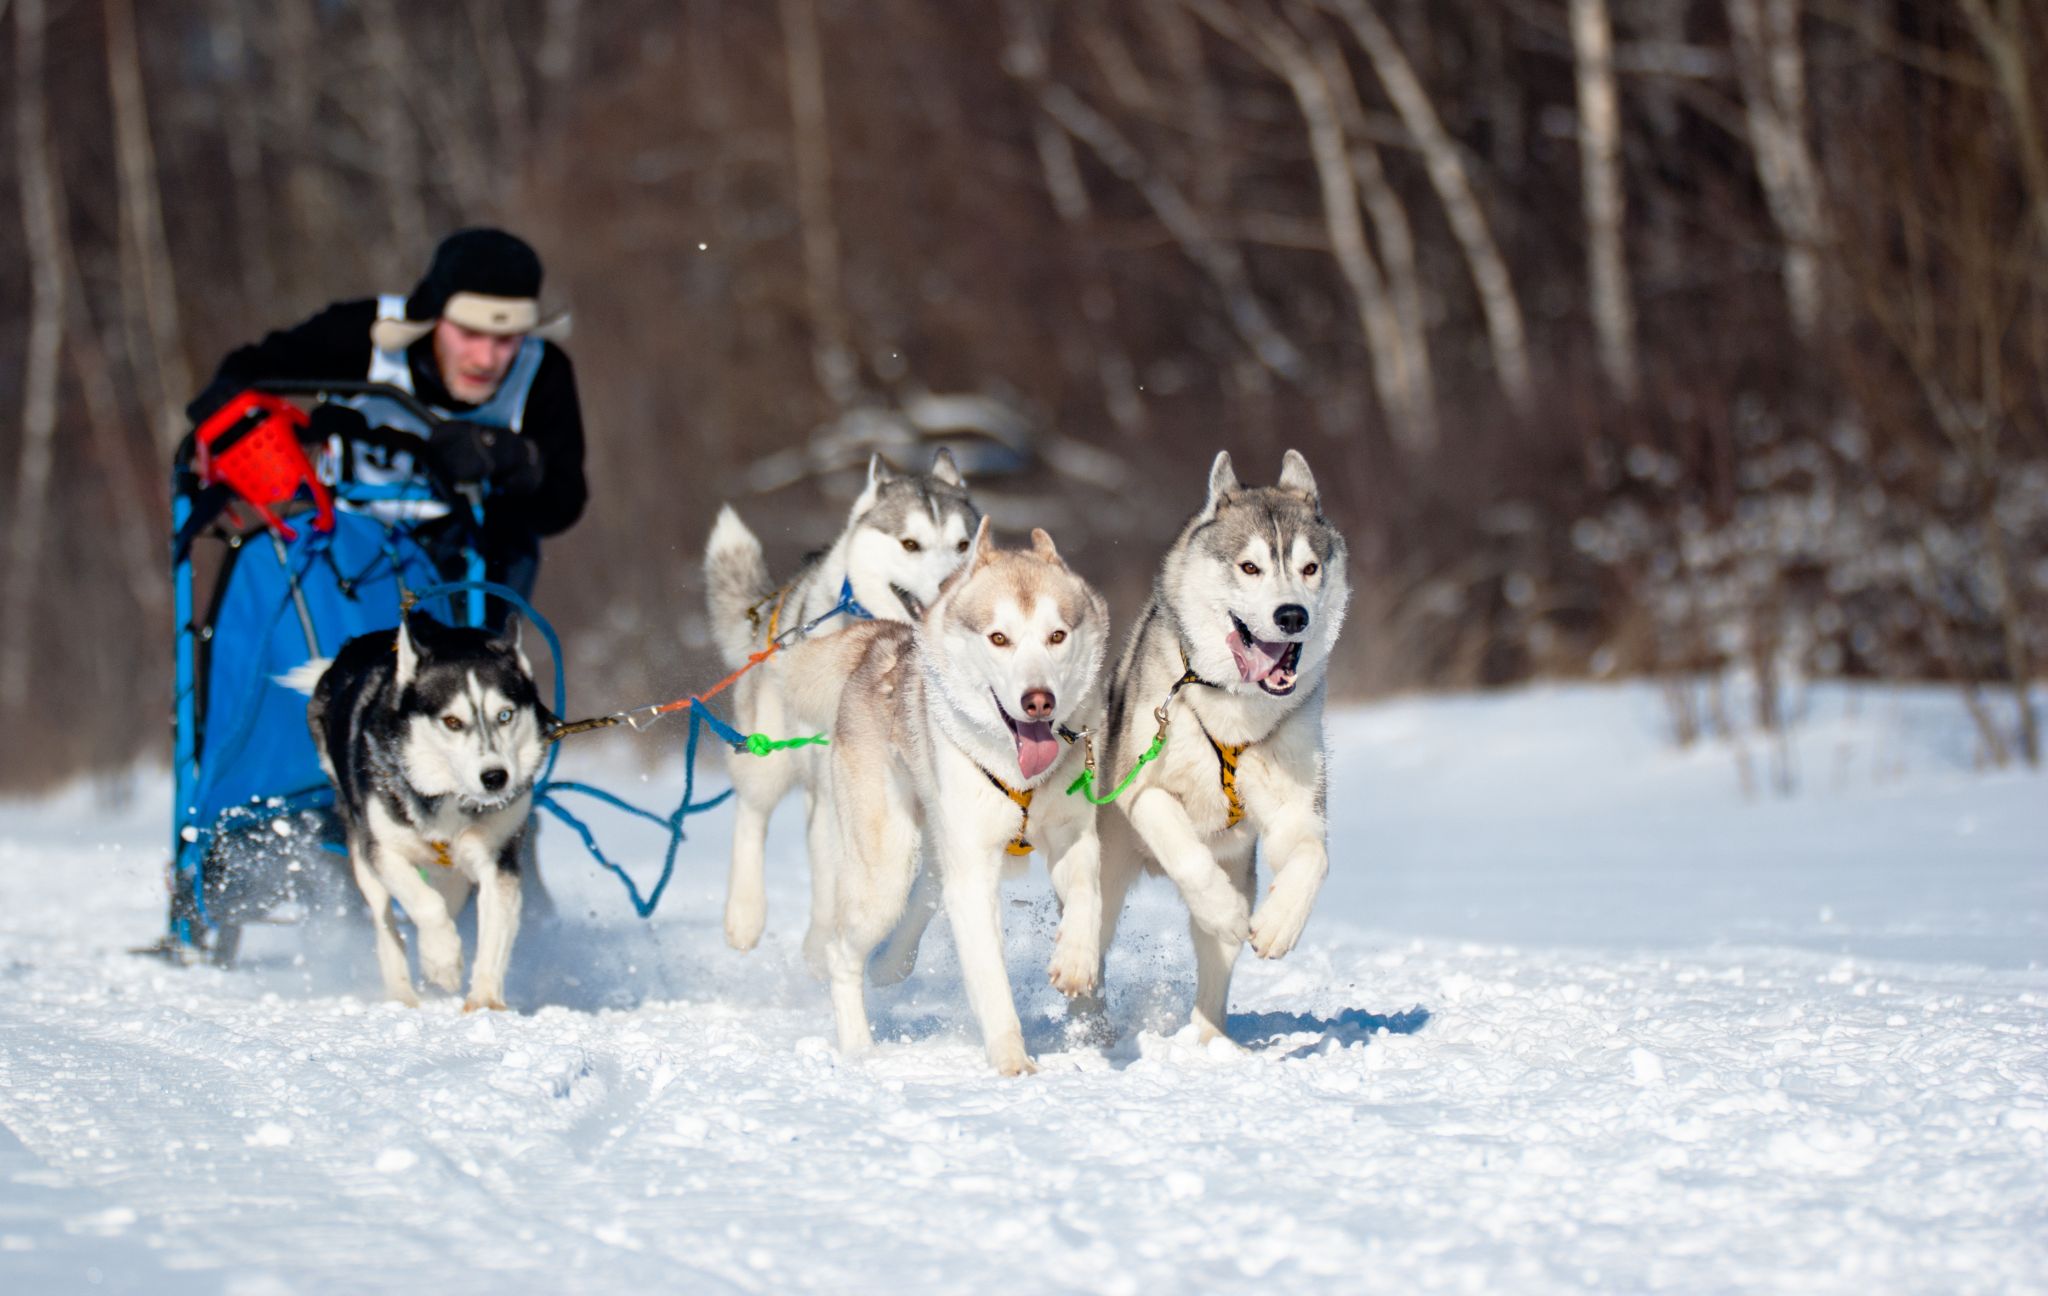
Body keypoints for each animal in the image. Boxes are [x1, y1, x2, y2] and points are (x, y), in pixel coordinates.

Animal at [299, 610, 548, 1007]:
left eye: (505, 715)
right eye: (452, 721)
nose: (495, 777)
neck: (451, 801)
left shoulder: (499, 859)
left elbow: (494, 931)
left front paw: (485, 1000)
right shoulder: (382, 851)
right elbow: (426, 905)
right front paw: (442, 960)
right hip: (363, 858)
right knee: (386, 924)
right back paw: (402, 992)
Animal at [704, 450, 983, 954]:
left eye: (962, 544)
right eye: (910, 544)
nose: (952, 584)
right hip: (770, 756)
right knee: (753, 813)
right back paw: (745, 914)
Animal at [815, 515, 1114, 1072]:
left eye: (1057, 635)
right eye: (999, 638)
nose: (1039, 701)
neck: (1020, 777)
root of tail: (884, 643)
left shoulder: (1074, 834)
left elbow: (1087, 893)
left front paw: (1076, 960)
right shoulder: (974, 872)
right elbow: (990, 979)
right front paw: (1013, 1061)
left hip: (932, 854)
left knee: (925, 895)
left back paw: (891, 963)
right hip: (885, 872)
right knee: (843, 952)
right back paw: (859, 1047)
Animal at [1081, 452, 1351, 1040]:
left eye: (1310, 569)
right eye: (1249, 568)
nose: (1292, 615)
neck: (1234, 714)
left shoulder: (1297, 809)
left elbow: (1314, 857)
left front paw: (1277, 924)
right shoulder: (1143, 791)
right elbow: (1186, 850)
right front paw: (1228, 913)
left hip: (1240, 868)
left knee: (1213, 972)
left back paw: (1210, 1043)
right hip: (1105, 873)